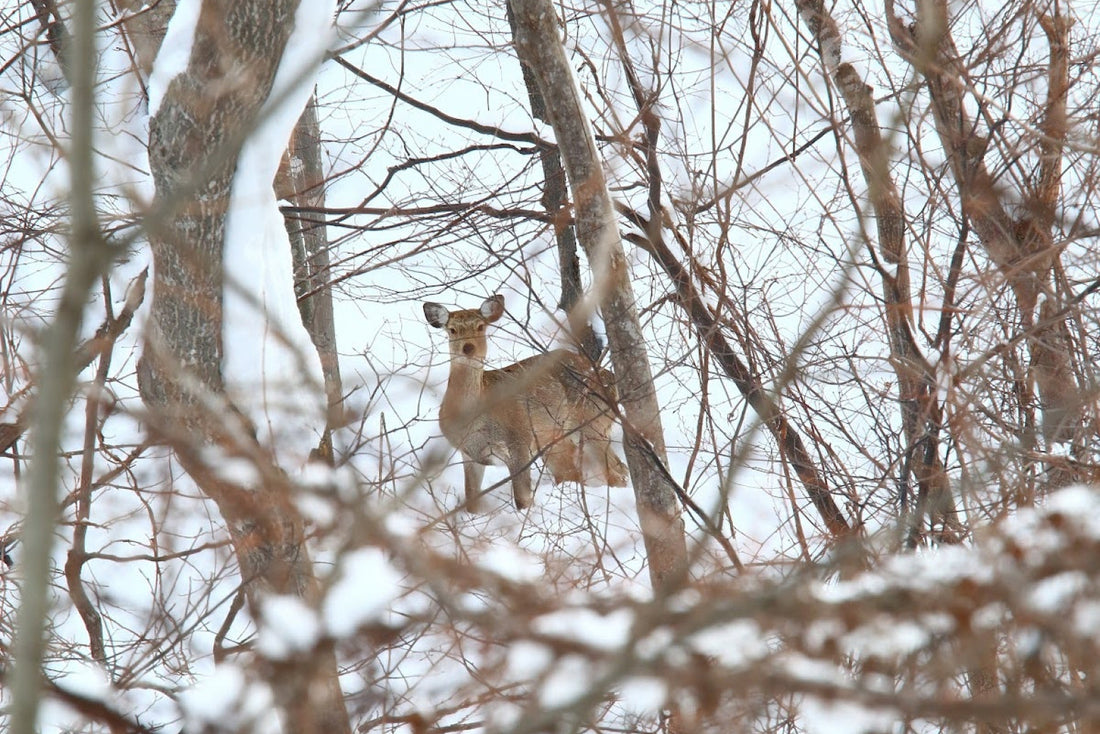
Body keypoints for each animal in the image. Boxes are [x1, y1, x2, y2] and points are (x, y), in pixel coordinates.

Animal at [422, 292, 629, 510]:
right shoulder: (469, 454)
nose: (468, 347)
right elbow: (471, 501)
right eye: (452, 330)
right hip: (558, 438)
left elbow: (522, 499)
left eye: (480, 326)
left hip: (591, 422)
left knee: (616, 474)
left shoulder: (519, 439)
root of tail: (610, 377)